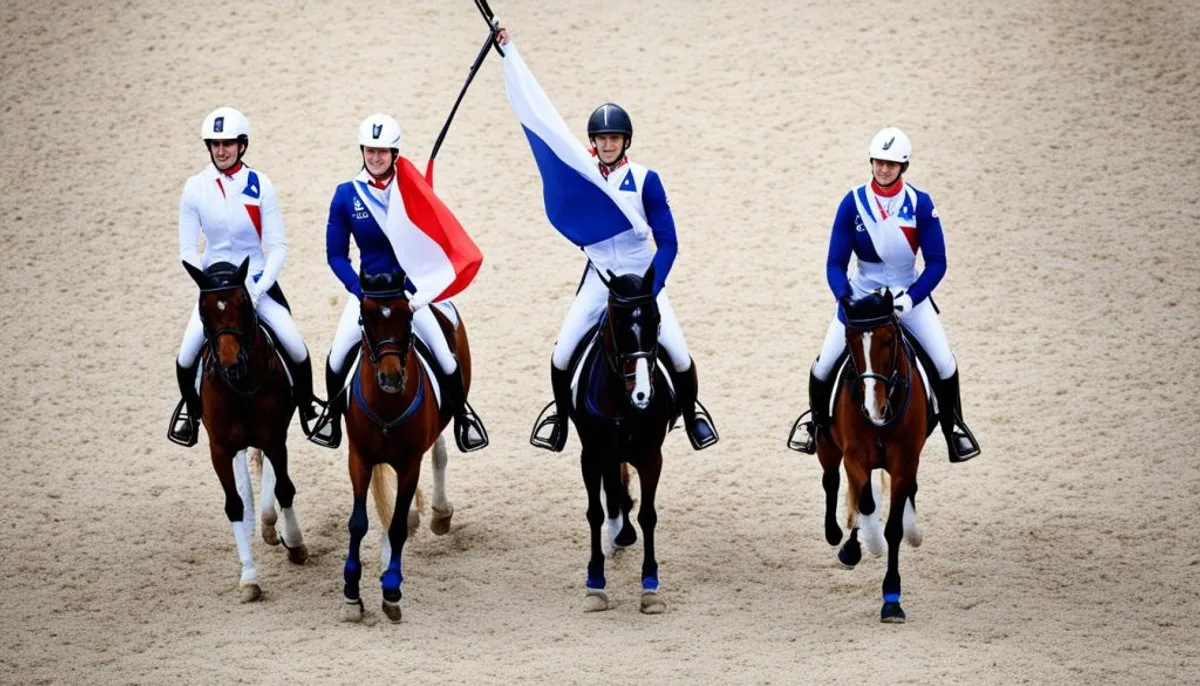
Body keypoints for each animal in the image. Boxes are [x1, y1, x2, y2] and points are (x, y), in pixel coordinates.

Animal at [180, 260, 309, 602]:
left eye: (244, 303)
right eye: (204, 310)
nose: (230, 364)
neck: (239, 388)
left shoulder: (275, 438)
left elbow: (284, 489)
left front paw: (295, 544)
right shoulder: (220, 450)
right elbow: (234, 505)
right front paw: (249, 578)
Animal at [343, 271, 468, 623]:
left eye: (407, 317)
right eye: (366, 317)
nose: (391, 378)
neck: (387, 406)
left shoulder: (410, 463)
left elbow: (397, 526)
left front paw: (391, 591)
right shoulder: (359, 458)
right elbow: (358, 523)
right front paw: (351, 595)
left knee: (438, 453)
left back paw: (440, 513)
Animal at [811, 287, 931, 623]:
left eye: (888, 340)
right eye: (850, 341)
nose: (871, 409)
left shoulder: (905, 463)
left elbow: (894, 527)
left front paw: (892, 598)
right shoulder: (854, 457)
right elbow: (864, 500)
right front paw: (869, 543)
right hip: (827, 447)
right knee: (833, 481)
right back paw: (844, 541)